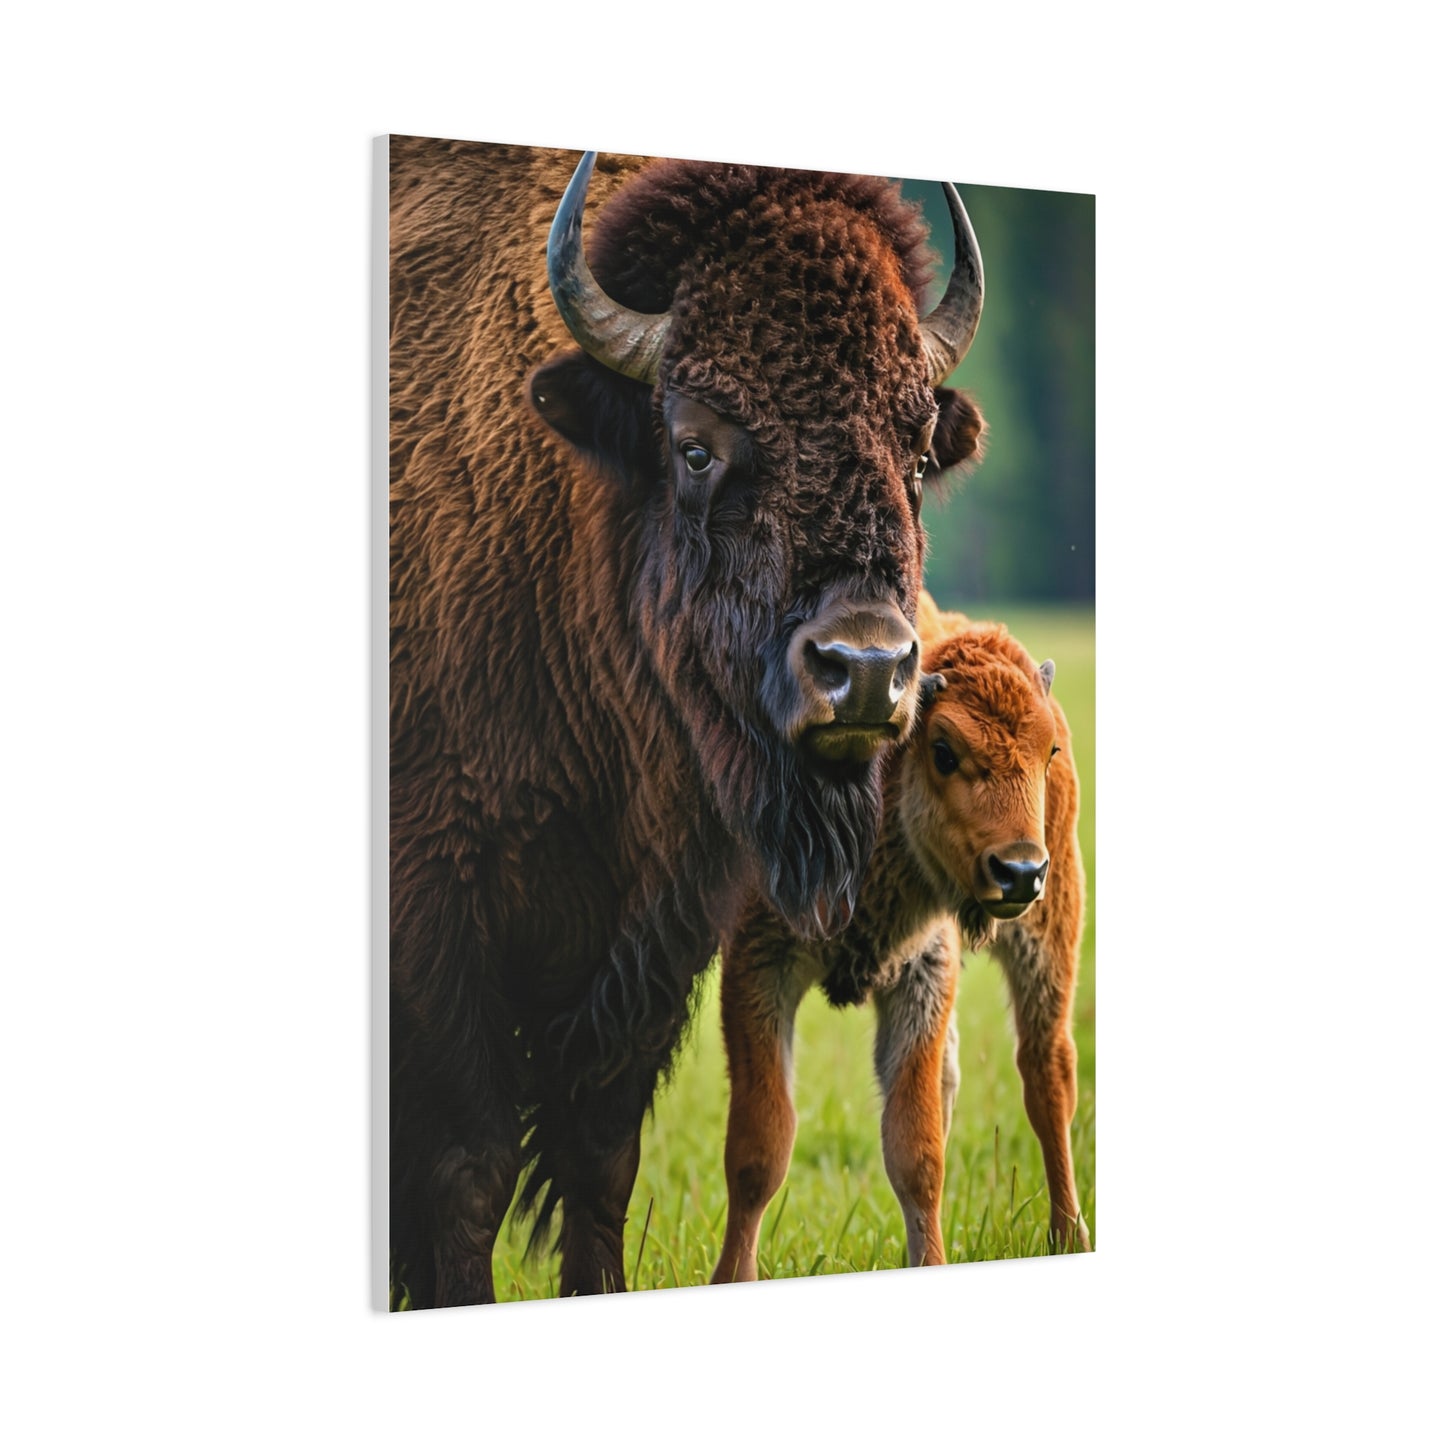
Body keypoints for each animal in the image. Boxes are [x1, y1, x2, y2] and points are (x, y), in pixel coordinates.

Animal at [389, 139, 987, 1306]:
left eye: (913, 448)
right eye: (696, 446)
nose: (864, 669)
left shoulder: (653, 935)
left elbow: (599, 1155)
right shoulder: (438, 915)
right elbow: (468, 1164)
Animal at [711, 606, 1089, 1284]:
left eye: (1046, 751)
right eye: (943, 750)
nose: (1021, 872)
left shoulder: (921, 971)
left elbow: (916, 1153)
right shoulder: (759, 963)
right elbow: (760, 1145)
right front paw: (731, 1276)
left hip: (1051, 931)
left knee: (1046, 1073)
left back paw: (1069, 1235)